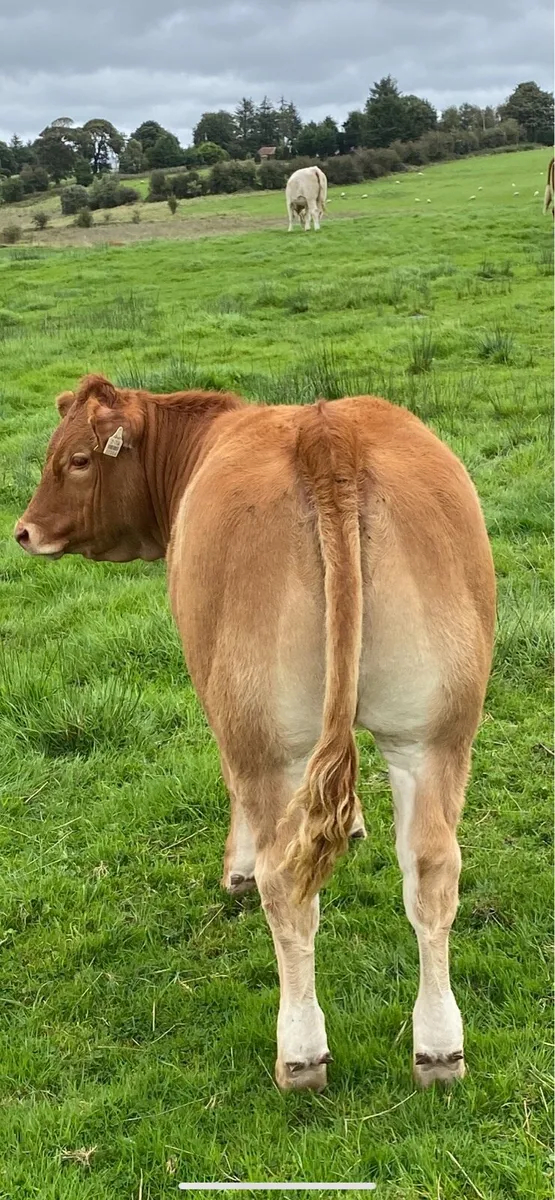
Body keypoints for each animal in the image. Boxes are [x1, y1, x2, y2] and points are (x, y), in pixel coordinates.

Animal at [15, 375, 495, 1093]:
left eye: (75, 459)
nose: (24, 531)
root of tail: (326, 433)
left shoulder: (222, 712)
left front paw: (234, 869)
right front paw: (354, 824)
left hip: (267, 735)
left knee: (286, 883)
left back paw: (299, 1051)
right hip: (435, 732)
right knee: (432, 867)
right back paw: (439, 1048)